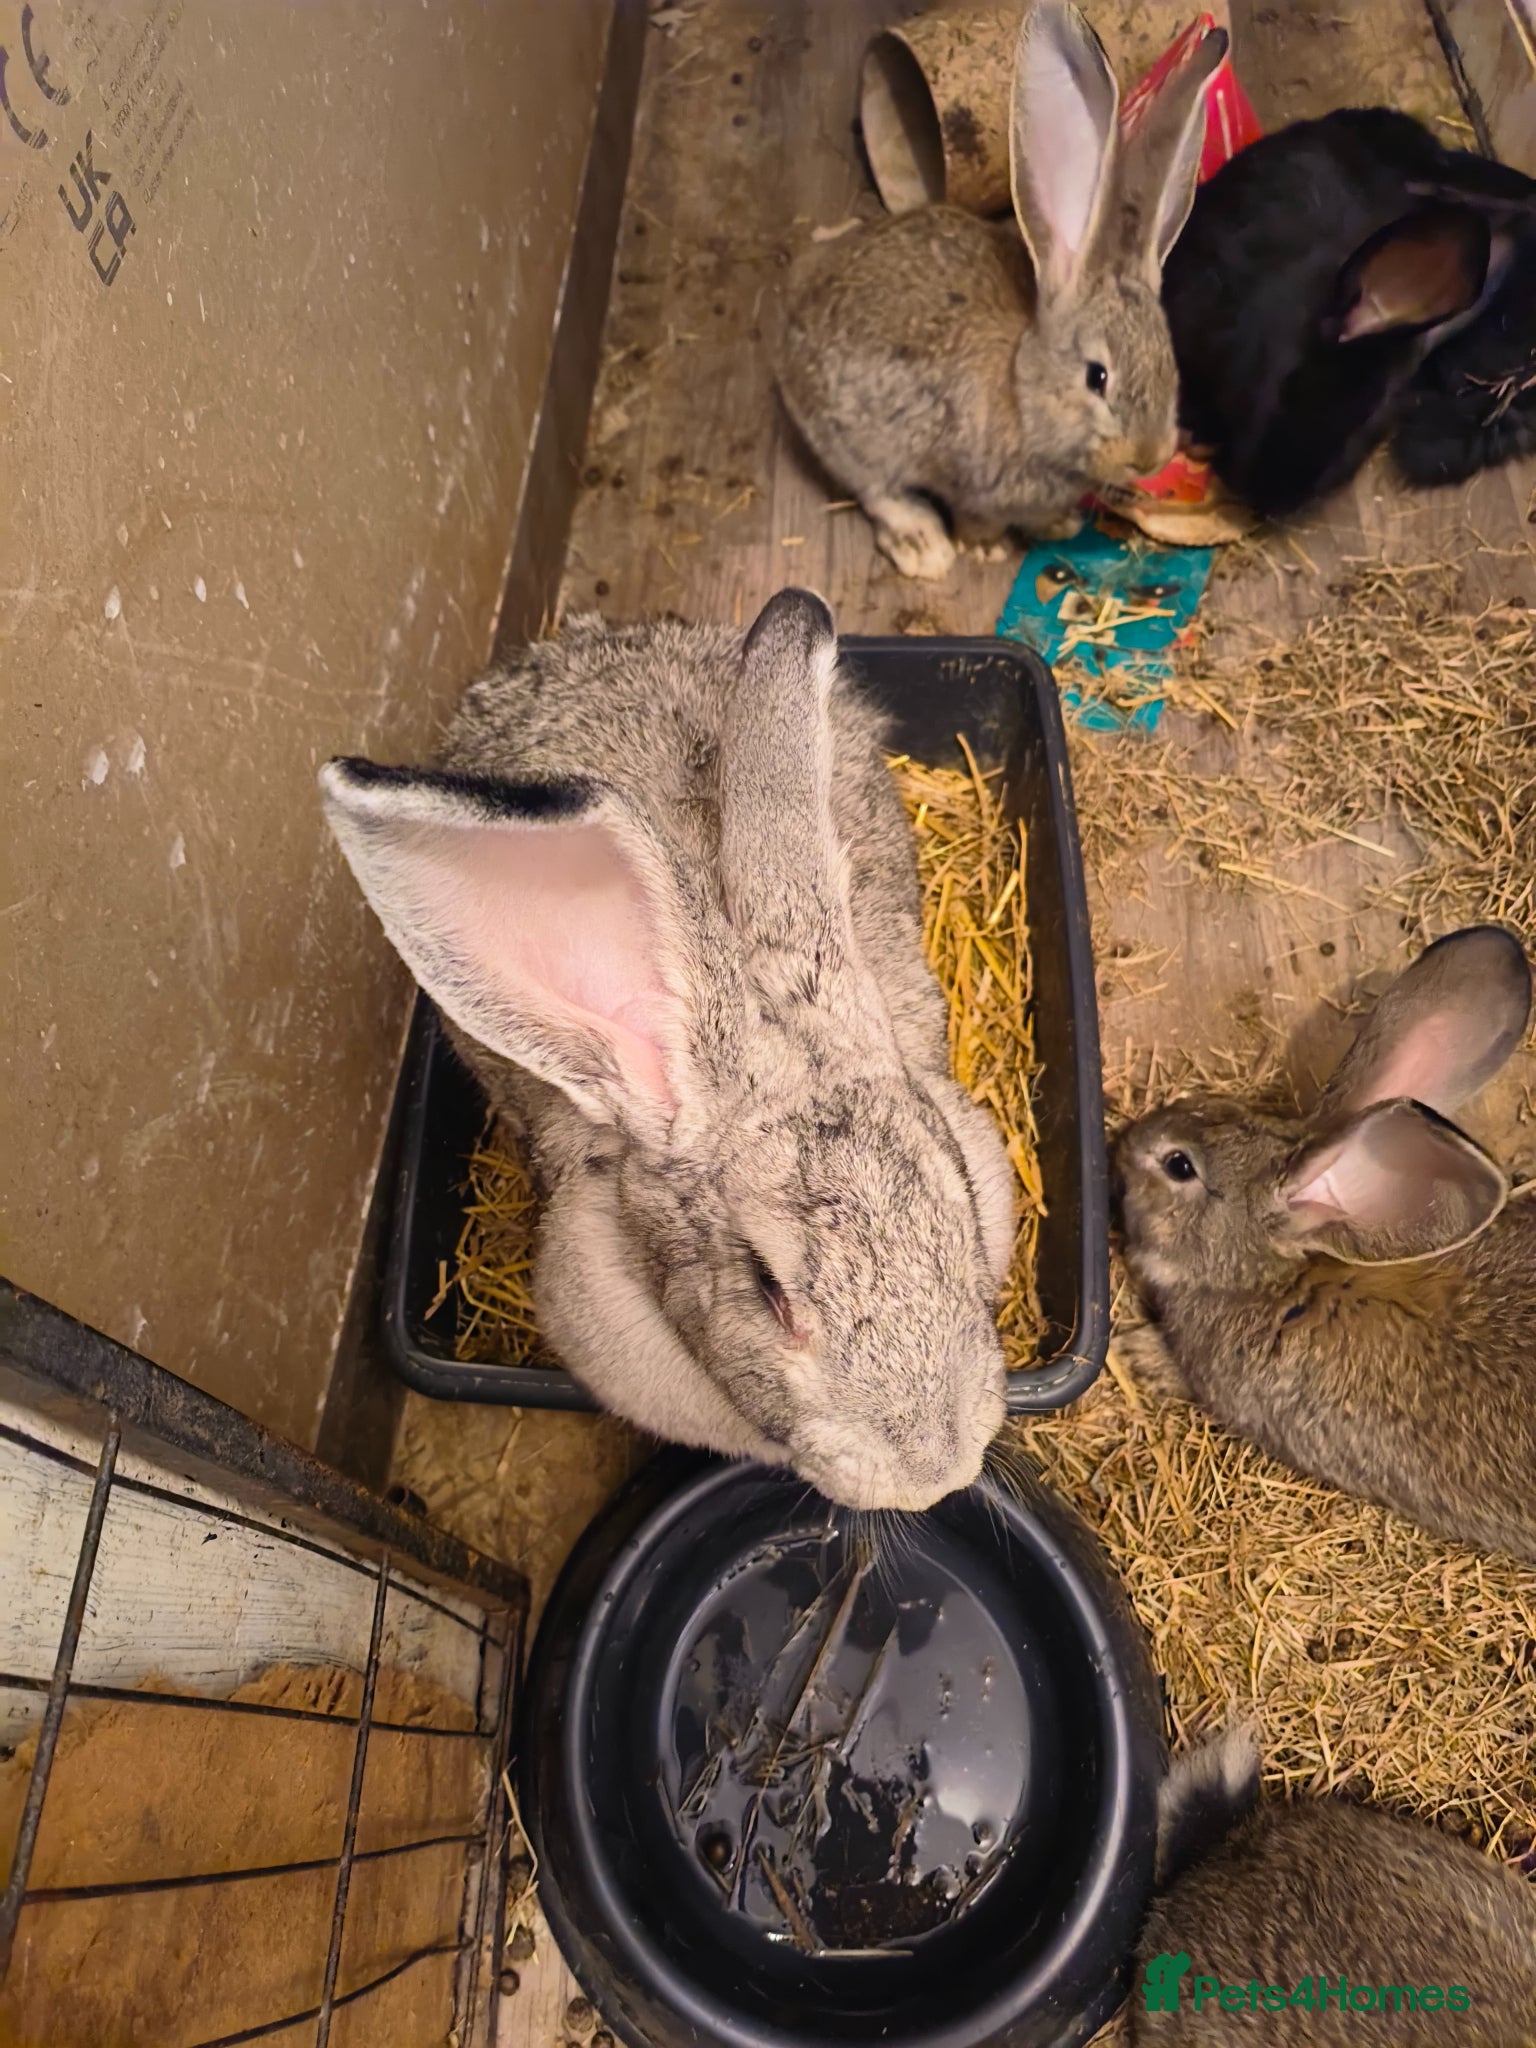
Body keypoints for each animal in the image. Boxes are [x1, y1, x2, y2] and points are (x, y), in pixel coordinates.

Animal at [775, 2, 1226, 582]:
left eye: (1170, 364)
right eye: (1096, 377)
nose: (1149, 456)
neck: (1022, 389)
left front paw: (1058, 525)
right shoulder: (968, 480)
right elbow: (974, 514)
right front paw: (985, 547)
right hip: (852, 435)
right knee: (877, 489)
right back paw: (924, 545)